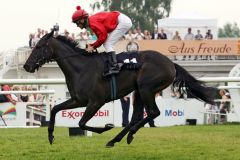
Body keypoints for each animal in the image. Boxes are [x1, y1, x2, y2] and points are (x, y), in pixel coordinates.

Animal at [23, 30, 217, 147]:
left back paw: (127, 135)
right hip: (139, 91)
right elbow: (55, 109)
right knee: (135, 117)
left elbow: (81, 123)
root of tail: (171, 64)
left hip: (146, 88)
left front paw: (106, 126)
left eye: (38, 47)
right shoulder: (78, 100)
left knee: (153, 112)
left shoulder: (96, 101)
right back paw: (118, 139)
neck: (80, 68)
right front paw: (50, 136)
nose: (26, 66)